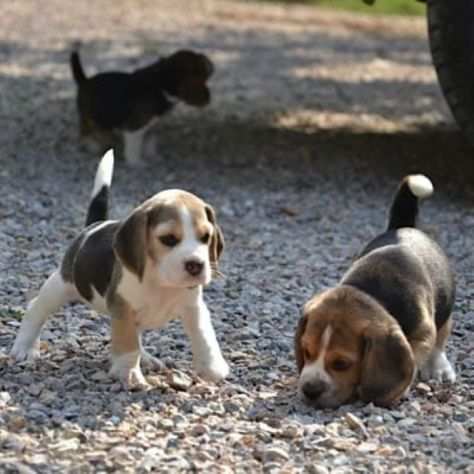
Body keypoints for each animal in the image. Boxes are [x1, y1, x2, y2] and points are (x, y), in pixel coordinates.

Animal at [8, 152, 228, 388]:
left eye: (205, 237)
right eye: (168, 239)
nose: (196, 265)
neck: (161, 282)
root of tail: (94, 226)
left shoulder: (193, 307)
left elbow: (204, 335)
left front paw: (212, 367)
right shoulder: (123, 308)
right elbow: (128, 343)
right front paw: (128, 373)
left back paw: (146, 358)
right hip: (61, 286)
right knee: (35, 308)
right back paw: (24, 348)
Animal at [71, 46, 214, 165]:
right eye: (201, 76)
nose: (209, 99)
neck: (160, 82)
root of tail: (84, 80)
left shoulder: (153, 125)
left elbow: (150, 143)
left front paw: (154, 157)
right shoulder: (135, 128)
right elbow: (134, 148)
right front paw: (136, 163)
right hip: (90, 118)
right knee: (85, 132)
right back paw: (91, 145)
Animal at [296, 175, 456, 408]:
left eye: (341, 363)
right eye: (306, 351)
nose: (310, 390)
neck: (373, 291)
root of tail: (403, 227)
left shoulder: (423, 331)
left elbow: (416, 355)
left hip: (446, 306)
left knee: (441, 338)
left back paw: (439, 367)